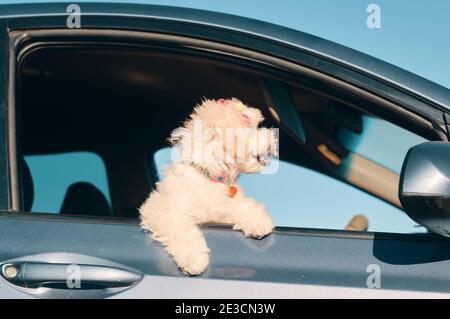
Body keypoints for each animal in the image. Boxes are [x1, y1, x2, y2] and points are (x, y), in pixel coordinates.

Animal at [139, 99, 276, 276]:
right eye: (251, 130)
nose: (272, 138)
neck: (209, 176)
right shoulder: (162, 211)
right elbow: (183, 230)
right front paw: (194, 259)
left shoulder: (222, 209)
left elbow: (244, 206)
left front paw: (258, 221)